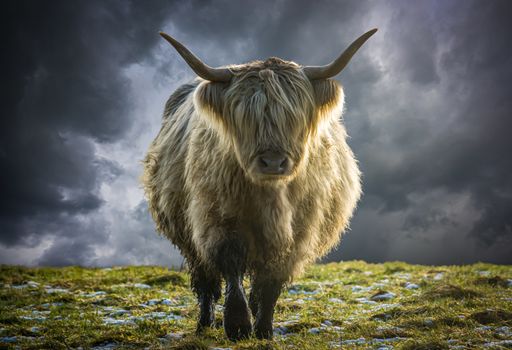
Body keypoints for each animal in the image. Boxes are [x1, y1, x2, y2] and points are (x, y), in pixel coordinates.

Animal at [142, 28, 378, 340]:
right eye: (246, 115)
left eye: (293, 115)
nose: (273, 162)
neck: (270, 197)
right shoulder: (217, 220)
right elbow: (231, 267)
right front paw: (238, 325)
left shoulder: (297, 233)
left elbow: (271, 283)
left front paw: (264, 328)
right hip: (188, 234)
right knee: (205, 280)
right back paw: (204, 323)